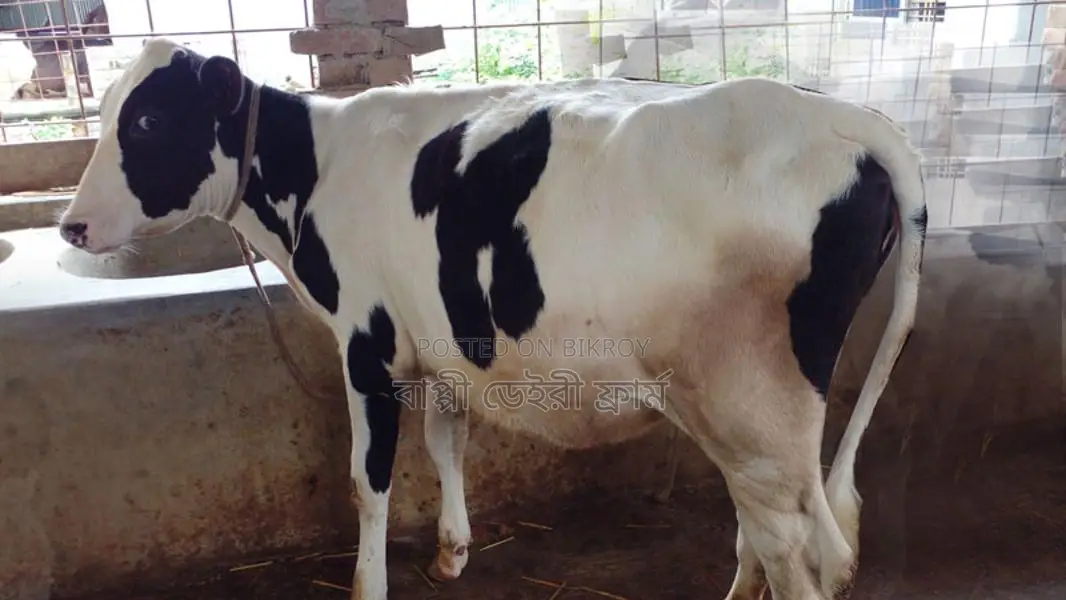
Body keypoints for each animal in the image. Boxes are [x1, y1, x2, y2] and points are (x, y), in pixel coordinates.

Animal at [58, 38, 927, 600]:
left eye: (147, 122)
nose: (71, 226)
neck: (315, 169)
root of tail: (840, 115)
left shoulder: (366, 342)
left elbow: (368, 481)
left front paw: (367, 586)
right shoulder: (441, 340)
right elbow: (447, 442)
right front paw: (451, 553)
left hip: (752, 399)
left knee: (801, 547)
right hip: (741, 415)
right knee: (767, 526)